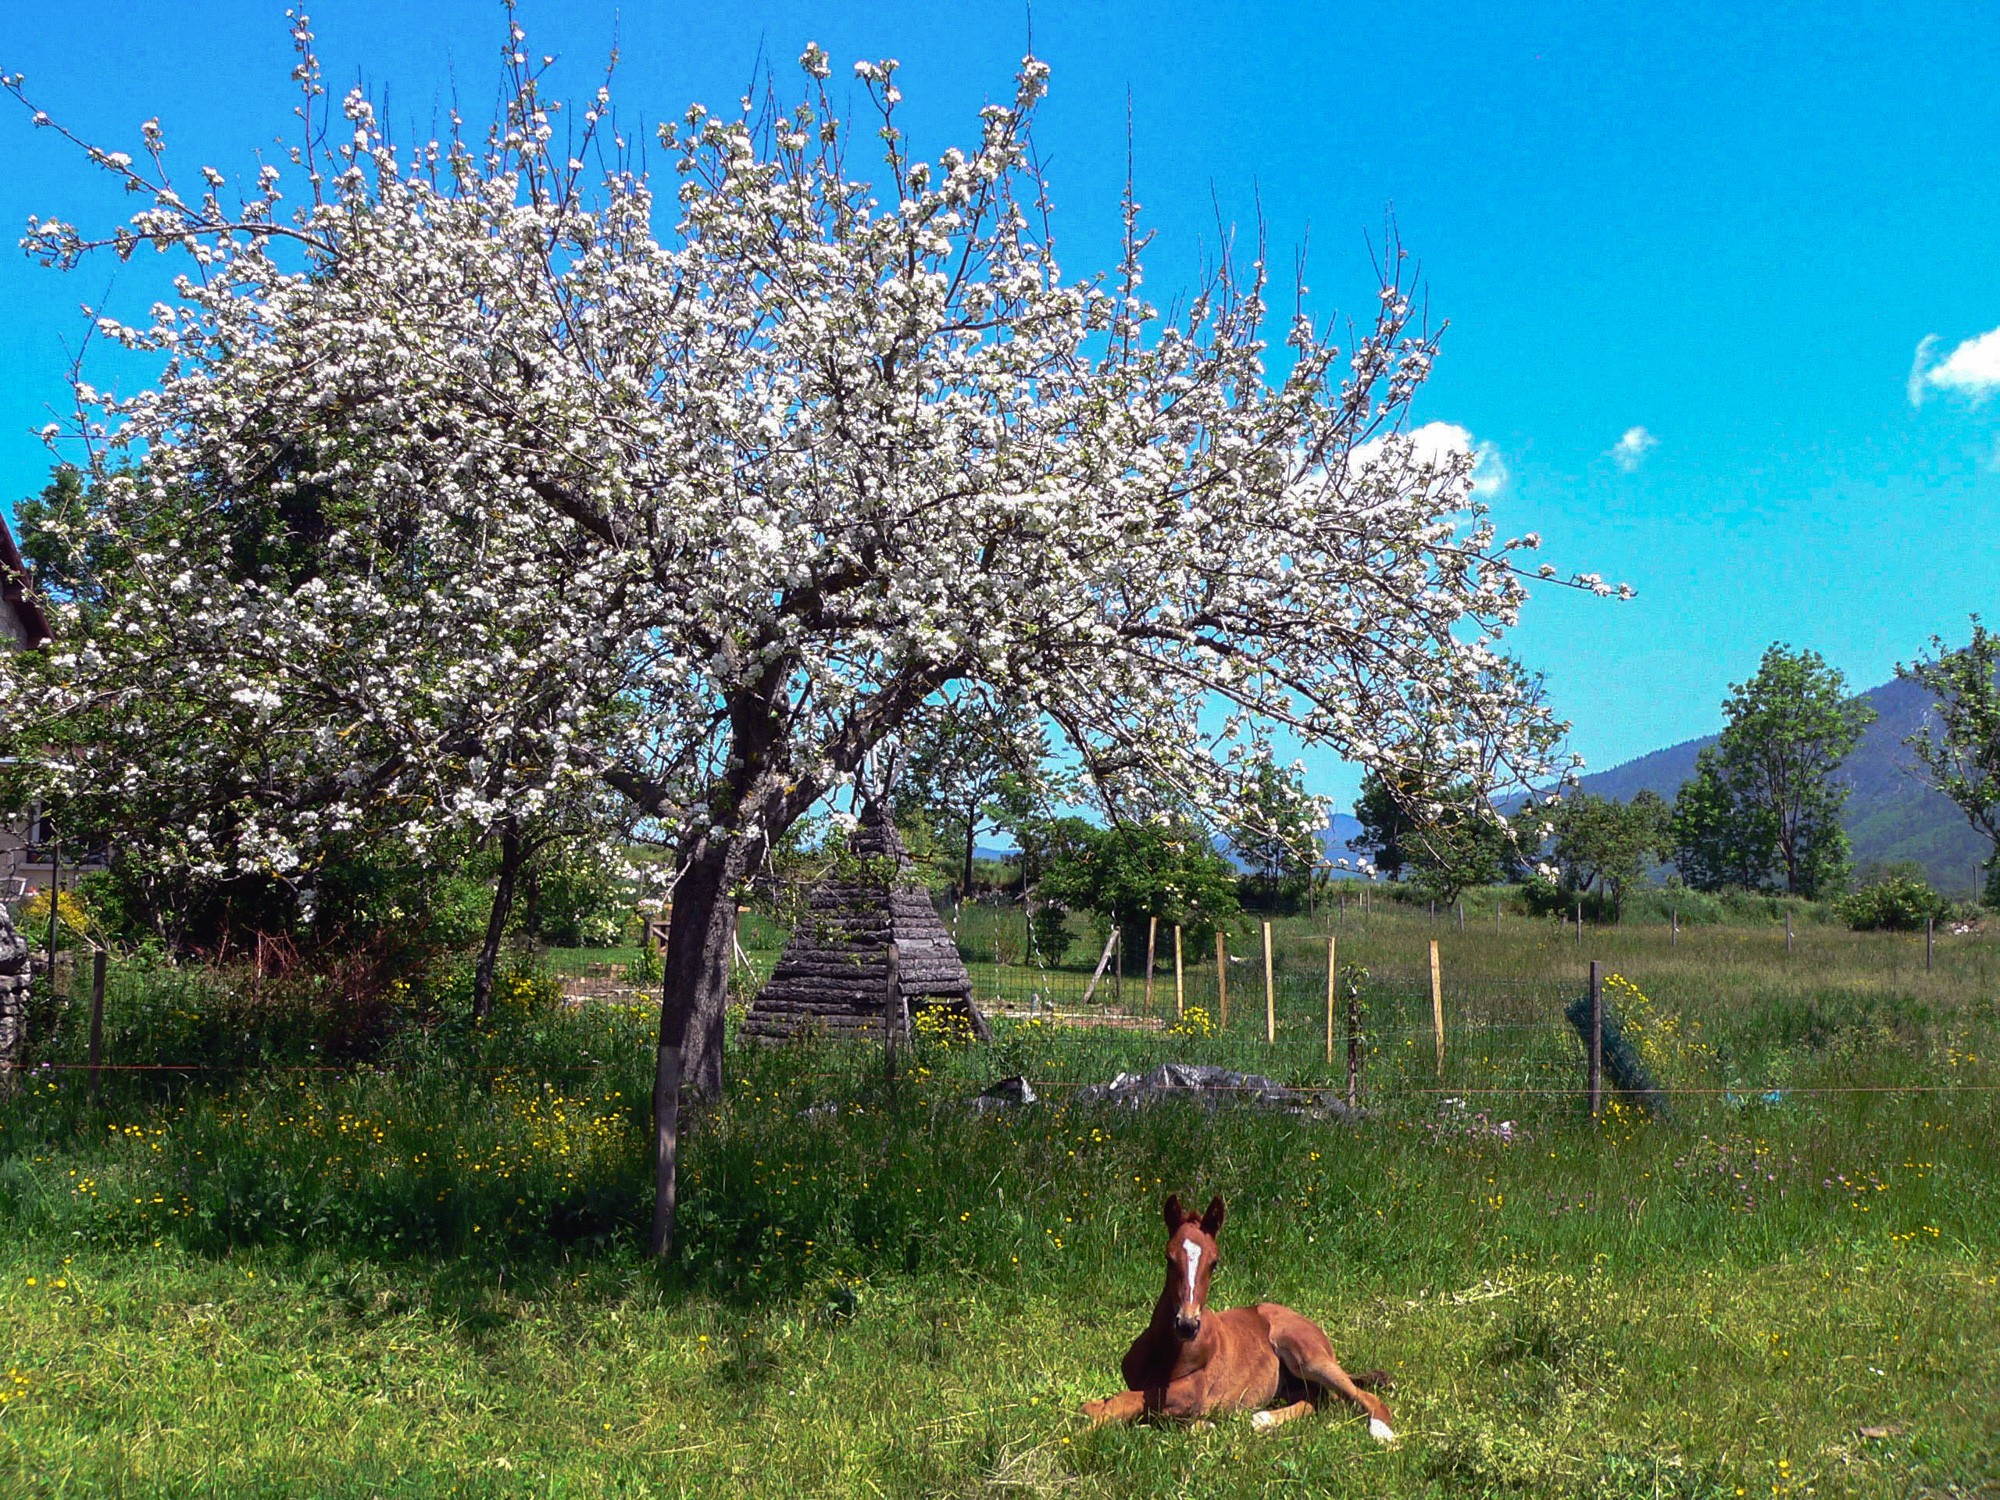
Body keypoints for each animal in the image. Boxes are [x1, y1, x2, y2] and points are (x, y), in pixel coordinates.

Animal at [1080, 1200, 1392, 1448]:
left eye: (1214, 1262)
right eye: (1169, 1258)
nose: (1187, 1325)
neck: (1165, 1352)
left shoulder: (1189, 1394)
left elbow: (1124, 1401)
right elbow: (1094, 1405)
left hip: (1308, 1358)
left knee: (1363, 1398)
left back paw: (1383, 1434)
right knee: (1319, 1398)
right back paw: (1262, 1419)